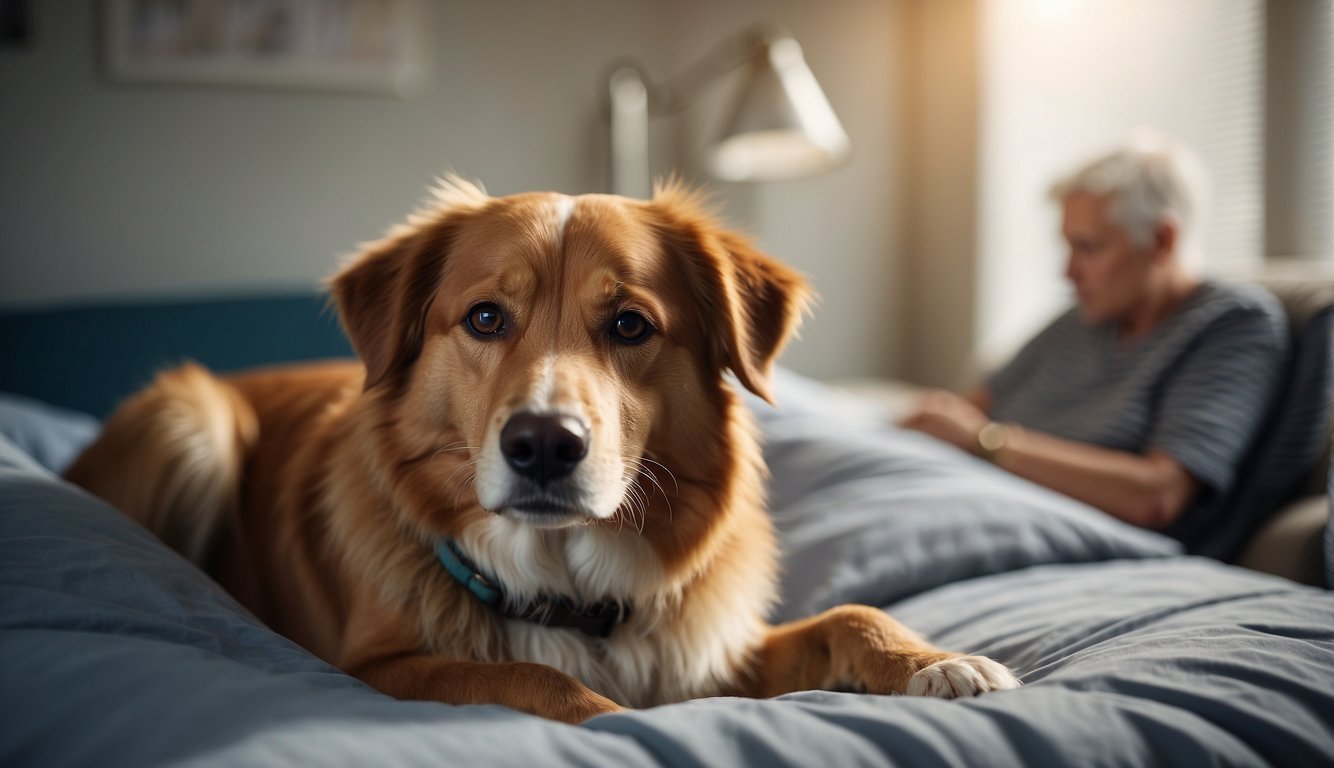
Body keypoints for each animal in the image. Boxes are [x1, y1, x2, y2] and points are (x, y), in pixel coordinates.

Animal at [65, 177, 1019, 725]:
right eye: (486, 317)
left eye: (630, 325)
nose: (543, 445)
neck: (570, 590)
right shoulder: (379, 666)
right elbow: (535, 680)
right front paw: (620, 722)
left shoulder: (711, 652)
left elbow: (847, 616)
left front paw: (935, 662)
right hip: (191, 418)